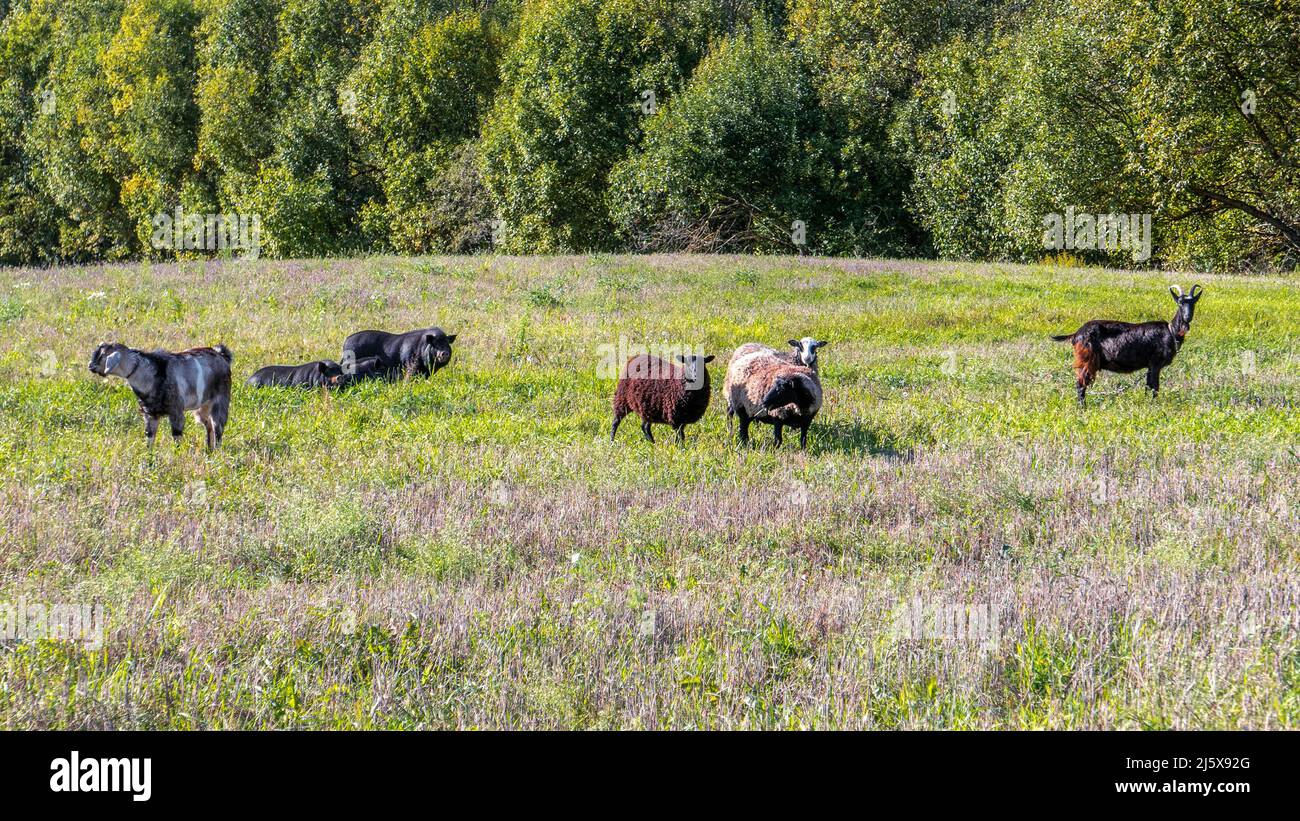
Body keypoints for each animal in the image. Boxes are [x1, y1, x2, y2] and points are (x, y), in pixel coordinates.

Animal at [88, 342, 232, 449]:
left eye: (101, 355)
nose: (90, 366)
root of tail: (221, 355)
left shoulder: (176, 411)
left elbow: (176, 437)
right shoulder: (150, 413)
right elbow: (149, 438)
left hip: (220, 401)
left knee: (217, 427)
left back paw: (216, 452)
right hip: (202, 407)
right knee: (208, 425)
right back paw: (209, 450)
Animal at [1051, 284, 1203, 407]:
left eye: (1194, 303)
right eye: (1180, 303)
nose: (1187, 317)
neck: (1171, 331)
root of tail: (1077, 334)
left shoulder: (1150, 365)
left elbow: (1148, 386)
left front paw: (1146, 403)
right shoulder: (1156, 363)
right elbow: (1155, 387)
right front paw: (1154, 405)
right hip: (1088, 359)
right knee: (1081, 384)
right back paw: (1082, 408)